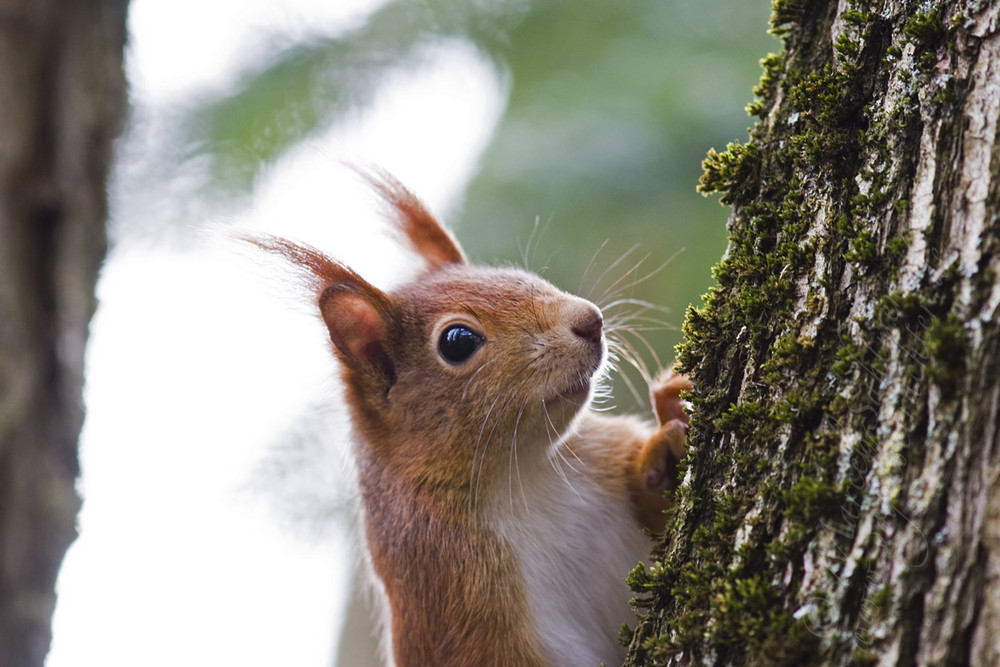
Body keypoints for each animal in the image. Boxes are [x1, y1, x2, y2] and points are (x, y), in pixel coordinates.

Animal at [249, 172, 688, 667]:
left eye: (516, 273)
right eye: (457, 341)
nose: (590, 320)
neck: (525, 472)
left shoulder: (602, 453)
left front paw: (665, 443)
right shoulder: (450, 599)